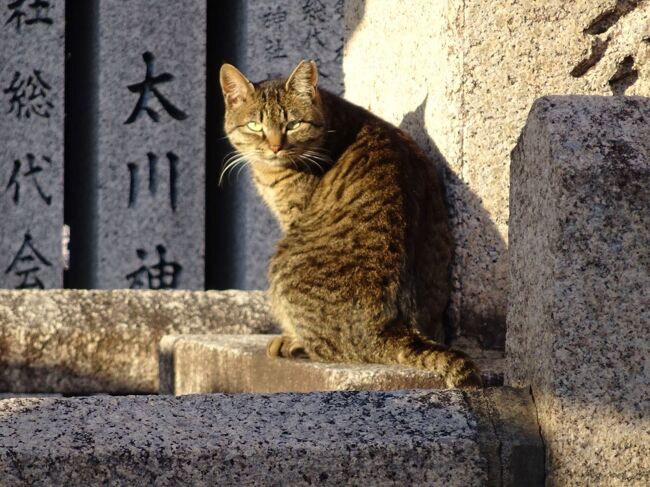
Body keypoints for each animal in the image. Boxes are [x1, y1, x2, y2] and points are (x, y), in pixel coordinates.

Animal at [220, 60, 478, 388]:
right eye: (255, 126)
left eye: (293, 124)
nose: (276, 147)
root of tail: (393, 327)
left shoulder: (292, 216)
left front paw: (288, 337)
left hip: (282, 261)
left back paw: (292, 343)